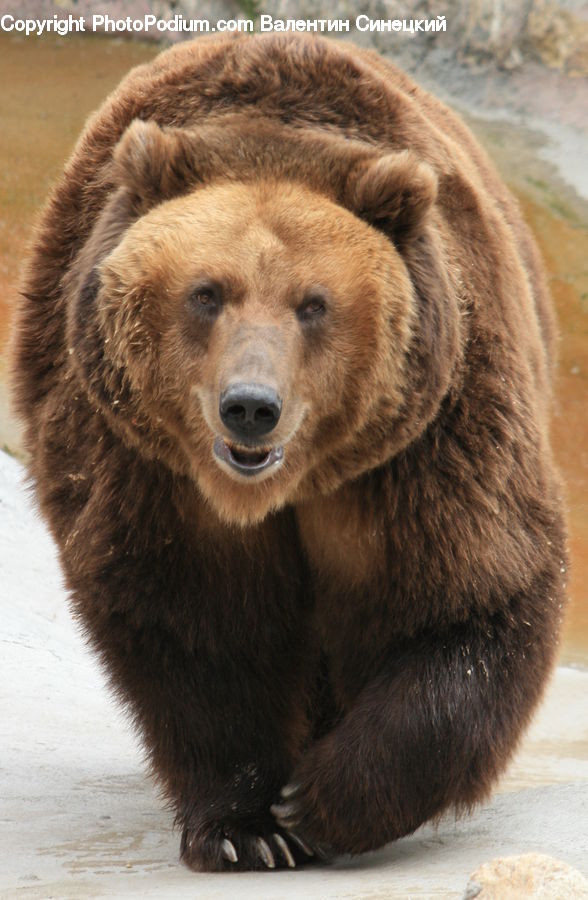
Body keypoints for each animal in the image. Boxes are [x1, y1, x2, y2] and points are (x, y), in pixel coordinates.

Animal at [11, 33, 567, 872]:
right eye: (207, 293)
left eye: (314, 304)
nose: (250, 408)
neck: (282, 489)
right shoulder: (151, 470)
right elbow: (197, 626)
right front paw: (248, 827)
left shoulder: (426, 448)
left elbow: (473, 596)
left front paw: (322, 799)